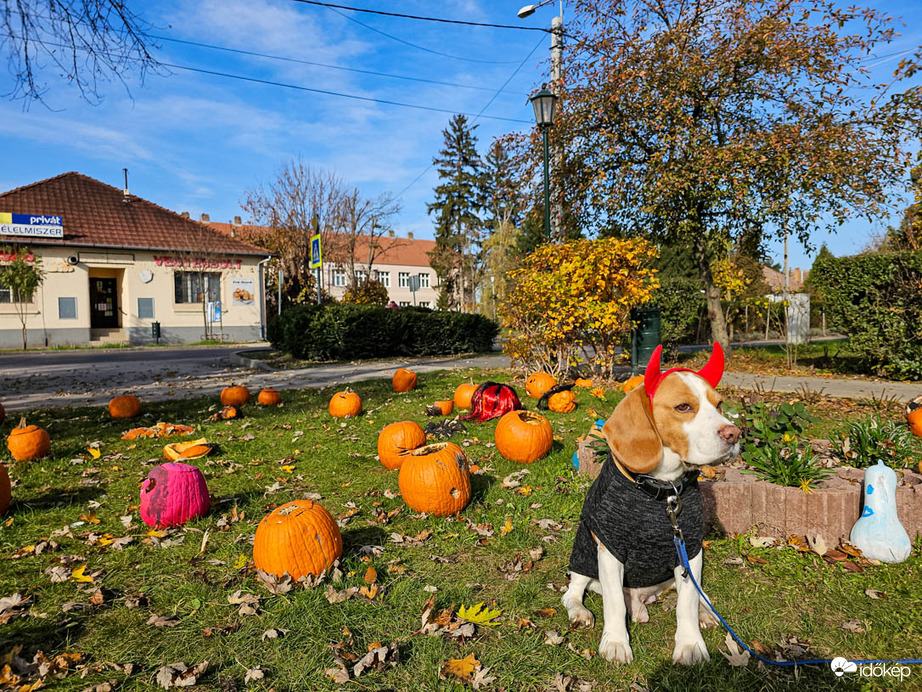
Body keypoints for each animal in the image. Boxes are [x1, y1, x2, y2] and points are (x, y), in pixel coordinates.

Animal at [560, 344, 740, 664]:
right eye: (683, 407)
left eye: (719, 405)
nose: (734, 434)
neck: (664, 490)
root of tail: (641, 599)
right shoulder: (609, 551)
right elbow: (614, 604)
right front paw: (616, 643)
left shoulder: (689, 548)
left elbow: (686, 604)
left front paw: (690, 645)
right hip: (583, 553)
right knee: (573, 593)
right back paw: (580, 612)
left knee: (698, 595)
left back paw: (705, 612)